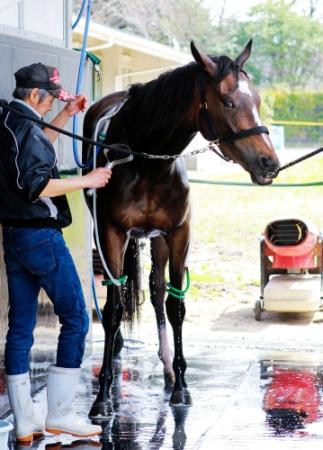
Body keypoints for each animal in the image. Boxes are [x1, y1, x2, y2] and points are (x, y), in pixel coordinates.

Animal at [81, 38, 280, 418]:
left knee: (156, 291)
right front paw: (102, 396)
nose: (269, 163)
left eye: (259, 101)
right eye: (228, 101)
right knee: (120, 295)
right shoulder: (111, 233)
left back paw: (167, 369)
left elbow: (175, 307)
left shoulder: (178, 235)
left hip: (156, 240)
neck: (147, 163)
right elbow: (112, 310)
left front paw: (181, 387)